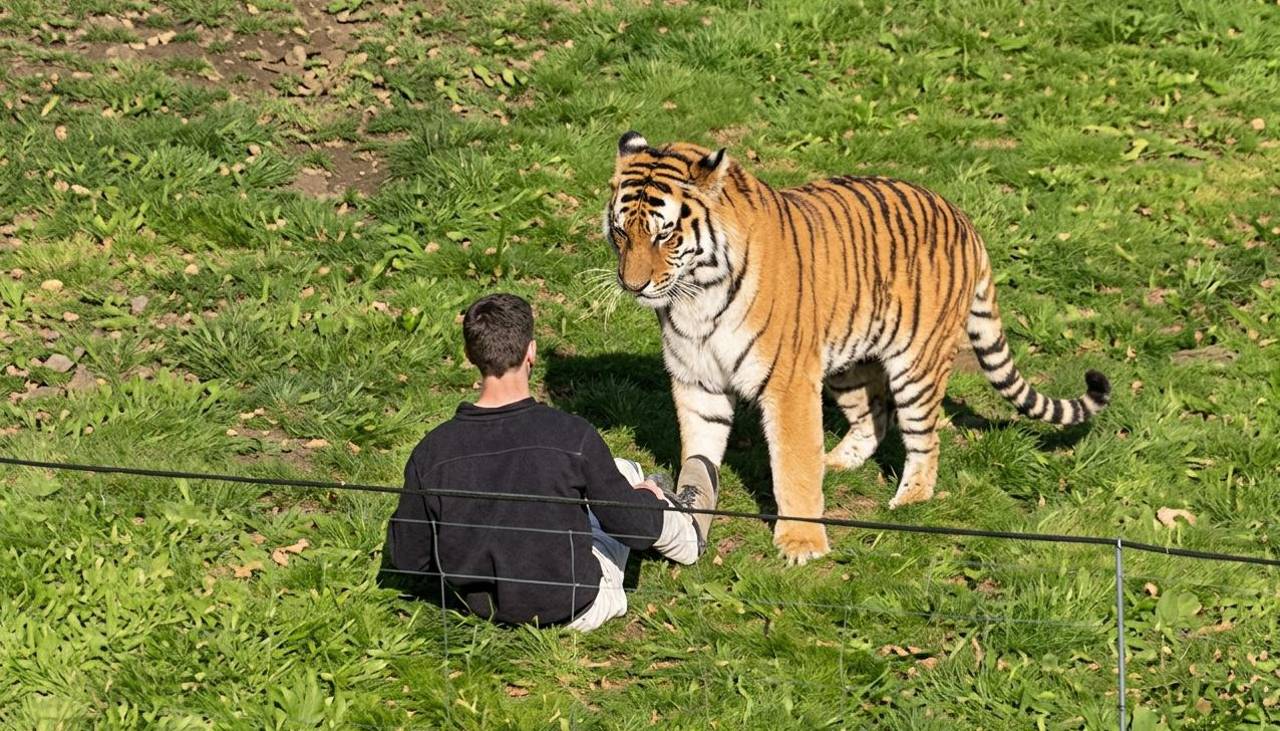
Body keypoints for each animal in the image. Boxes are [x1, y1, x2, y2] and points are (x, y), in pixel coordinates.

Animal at [602, 131, 1112, 564]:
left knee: (925, 438)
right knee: (874, 418)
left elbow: (793, 464)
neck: (696, 296)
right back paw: (836, 461)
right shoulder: (697, 380)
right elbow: (700, 450)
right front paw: (692, 513)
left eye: (665, 234)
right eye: (622, 232)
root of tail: (964, 219)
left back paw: (909, 500)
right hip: (850, 363)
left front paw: (802, 544)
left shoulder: (788, 383)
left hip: (917, 366)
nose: (633, 285)